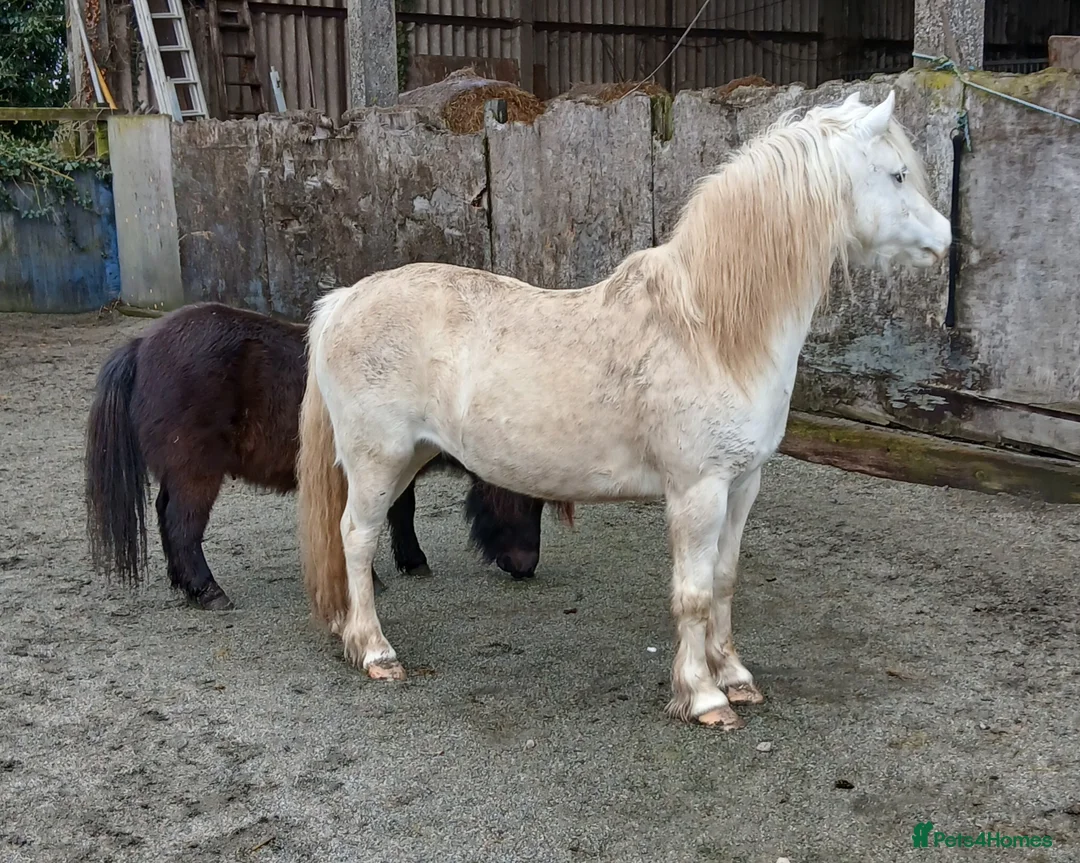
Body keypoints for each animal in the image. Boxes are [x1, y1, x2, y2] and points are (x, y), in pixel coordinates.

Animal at [84, 302, 573, 611]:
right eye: (526, 496)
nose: (525, 567)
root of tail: (142, 344)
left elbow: (402, 511)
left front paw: (410, 561)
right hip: (196, 473)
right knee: (182, 526)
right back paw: (207, 591)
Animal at [296, 90, 952, 729]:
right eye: (897, 174)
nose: (945, 239)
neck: (710, 332)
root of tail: (344, 299)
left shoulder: (743, 484)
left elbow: (723, 580)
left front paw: (735, 676)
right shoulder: (697, 491)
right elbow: (692, 594)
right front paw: (703, 697)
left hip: (409, 456)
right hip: (378, 460)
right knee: (357, 537)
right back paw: (375, 651)